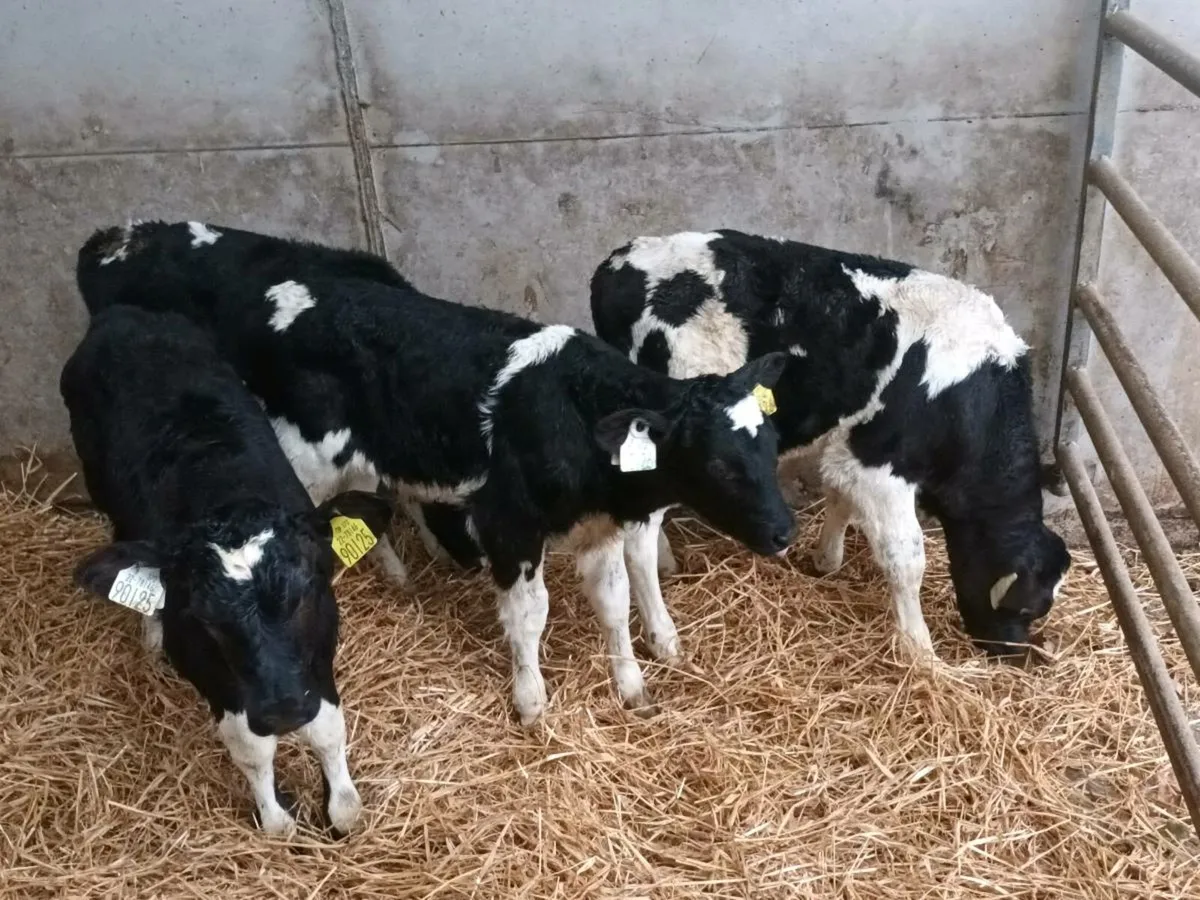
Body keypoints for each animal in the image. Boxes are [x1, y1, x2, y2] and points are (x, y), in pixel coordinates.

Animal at [61, 304, 394, 835]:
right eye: (205, 620)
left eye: (306, 591)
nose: (282, 710)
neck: (225, 493)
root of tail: (124, 314)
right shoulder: (212, 674)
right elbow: (253, 751)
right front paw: (277, 820)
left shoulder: (318, 654)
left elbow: (327, 729)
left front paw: (341, 807)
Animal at [76, 221, 796, 724]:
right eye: (718, 462)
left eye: (767, 447)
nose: (785, 531)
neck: (573, 408)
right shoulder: (509, 526)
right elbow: (529, 615)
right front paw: (531, 702)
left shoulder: (597, 530)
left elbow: (614, 604)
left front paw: (632, 686)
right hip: (300, 458)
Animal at [590, 230, 1071, 661]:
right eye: (1029, 608)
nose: (1014, 655)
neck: (968, 391)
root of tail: (619, 260)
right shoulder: (880, 463)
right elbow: (906, 559)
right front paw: (921, 651)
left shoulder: (851, 444)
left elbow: (840, 498)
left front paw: (827, 559)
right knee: (637, 545)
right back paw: (665, 638)